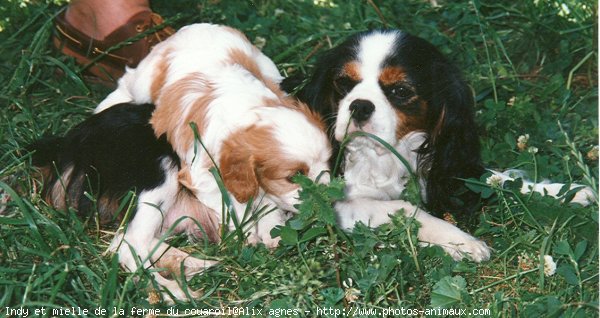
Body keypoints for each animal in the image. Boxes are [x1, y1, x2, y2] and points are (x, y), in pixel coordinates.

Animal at [31, 23, 330, 302]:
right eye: (292, 176)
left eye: (328, 165)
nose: (326, 199)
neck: (248, 108)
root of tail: (72, 143)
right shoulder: (200, 170)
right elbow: (236, 202)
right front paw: (249, 233)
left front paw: (269, 230)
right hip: (159, 170)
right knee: (127, 245)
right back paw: (172, 291)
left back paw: (194, 264)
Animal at [284, 29, 596, 262]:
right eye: (343, 83)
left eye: (400, 91)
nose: (359, 106)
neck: (386, 154)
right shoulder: (336, 201)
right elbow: (404, 207)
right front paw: (461, 241)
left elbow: (499, 180)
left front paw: (565, 192)